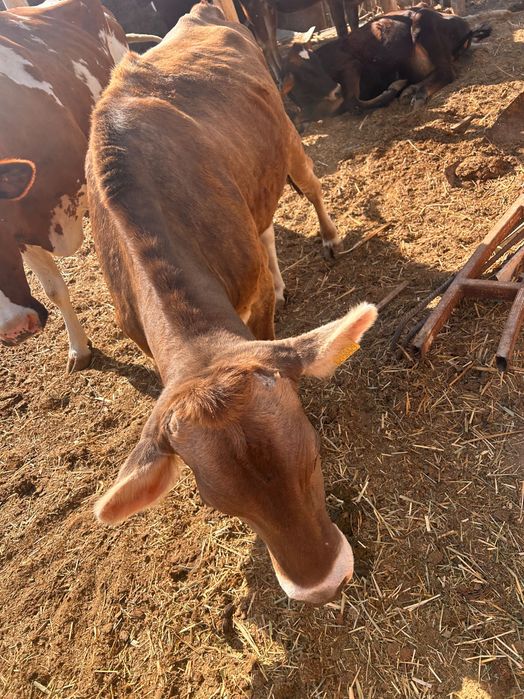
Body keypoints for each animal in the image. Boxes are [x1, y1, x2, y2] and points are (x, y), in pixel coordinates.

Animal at [87, 1, 377, 604]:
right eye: (224, 505)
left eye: (314, 453)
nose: (321, 586)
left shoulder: (252, 302)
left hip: (287, 138)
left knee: (308, 191)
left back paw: (329, 237)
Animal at [282, 6, 492, 121]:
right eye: (303, 72)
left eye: (316, 62)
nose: (336, 90)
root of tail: (465, 25)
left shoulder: (352, 66)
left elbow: (354, 103)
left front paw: (394, 88)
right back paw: (411, 89)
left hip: (424, 23)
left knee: (447, 72)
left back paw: (417, 93)